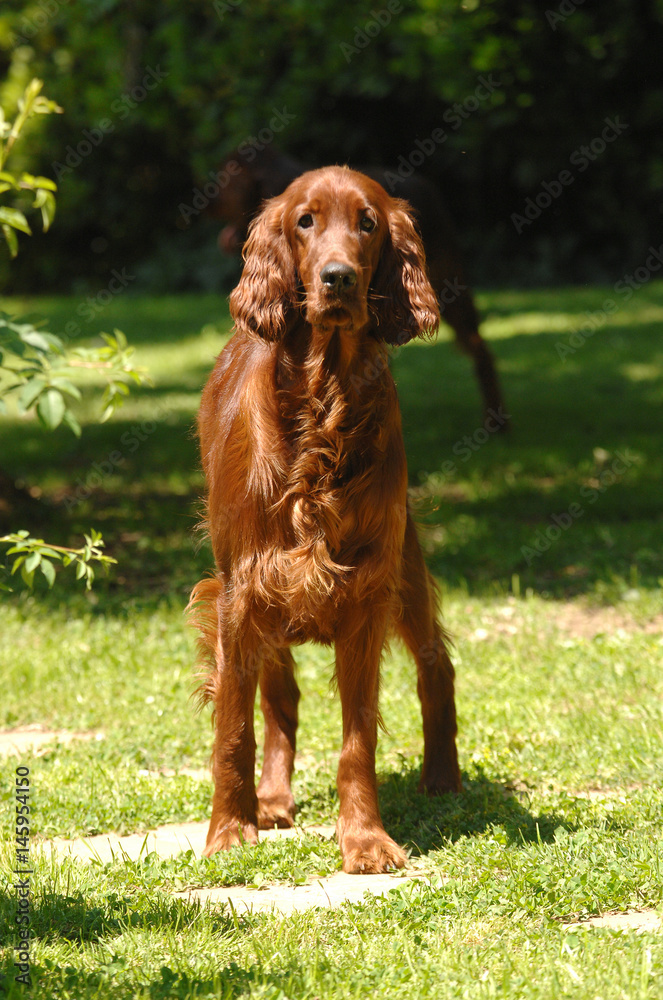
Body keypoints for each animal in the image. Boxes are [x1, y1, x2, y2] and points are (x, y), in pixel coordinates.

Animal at [191, 166, 462, 876]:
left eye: (367, 222)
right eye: (305, 220)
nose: (338, 277)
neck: (325, 400)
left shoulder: (365, 591)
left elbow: (357, 740)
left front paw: (365, 839)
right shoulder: (243, 588)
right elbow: (234, 727)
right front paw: (229, 831)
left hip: (405, 573)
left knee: (436, 665)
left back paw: (444, 778)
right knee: (278, 698)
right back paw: (272, 799)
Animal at [213, 146, 508, 428]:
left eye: (368, 223)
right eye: (305, 221)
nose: (338, 278)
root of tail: (427, 185)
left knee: (481, 350)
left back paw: (496, 421)